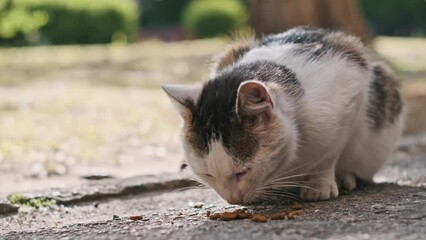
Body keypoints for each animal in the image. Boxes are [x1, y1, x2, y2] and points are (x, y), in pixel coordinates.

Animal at [162, 26, 402, 204]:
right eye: (207, 174)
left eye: (244, 171)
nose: (233, 201)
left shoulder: (350, 95)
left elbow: (328, 155)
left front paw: (318, 184)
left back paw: (345, 178)